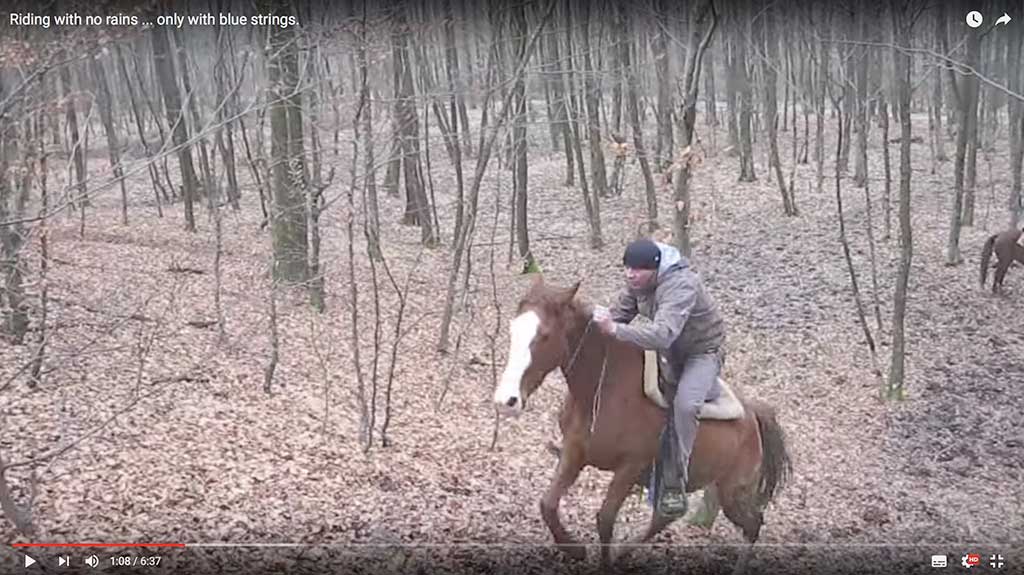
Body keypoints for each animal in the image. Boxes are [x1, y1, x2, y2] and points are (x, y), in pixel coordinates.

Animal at [493, 278, 790, 568]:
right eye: (512, 331)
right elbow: (548, 504)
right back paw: (622, 552)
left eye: (544, 335)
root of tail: (752, 414)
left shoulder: (630, 466)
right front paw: (576, 549)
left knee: (753, 524)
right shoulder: (573, 453)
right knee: (666, 517)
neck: (605, 388)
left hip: (732, 493)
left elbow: (605, 519)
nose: (506, 400)